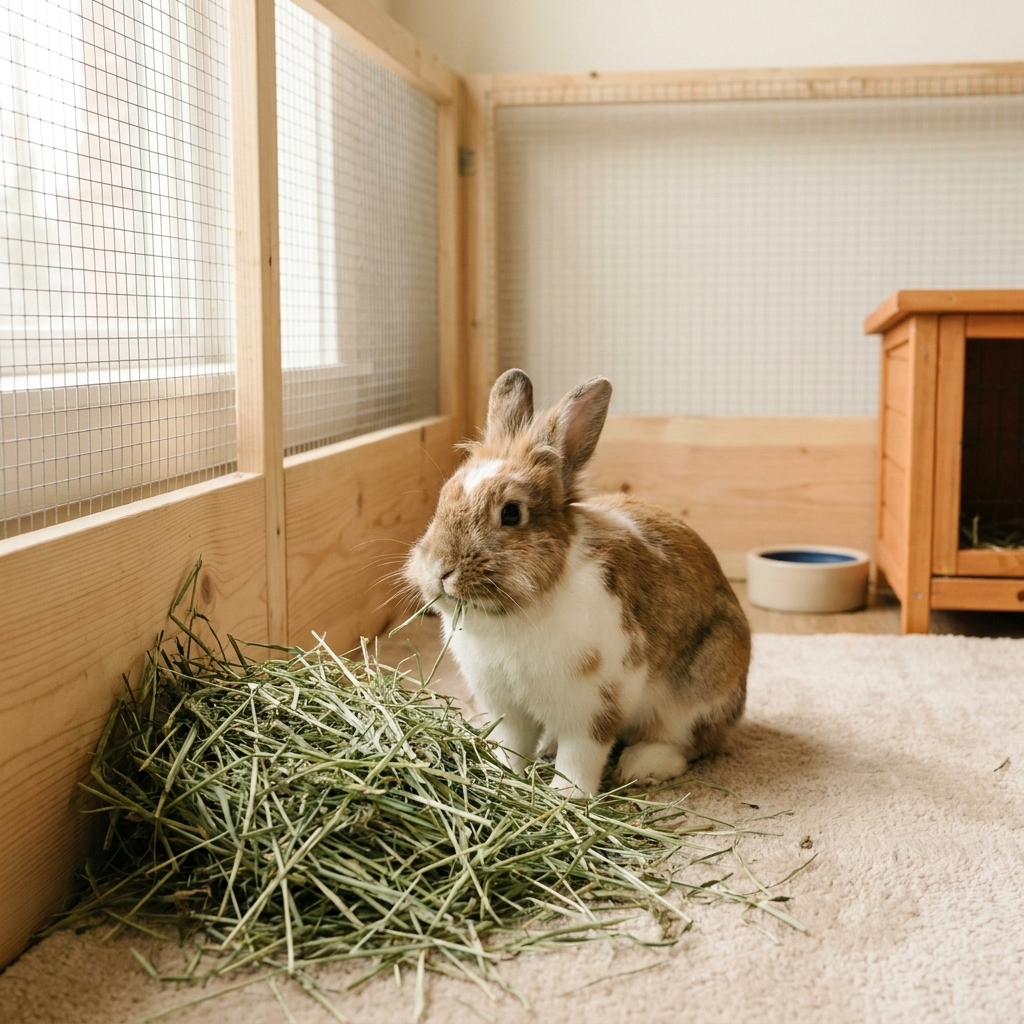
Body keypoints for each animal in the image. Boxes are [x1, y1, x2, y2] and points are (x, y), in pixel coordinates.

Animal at [403, 369, 751, 797]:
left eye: (512, 513)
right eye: (444, 497)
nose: (439, 571)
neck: (515, 613)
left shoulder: (592, 707)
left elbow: (580, 757)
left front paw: (565, 796)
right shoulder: (506, 708)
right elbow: (512, 746)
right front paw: (500, 775)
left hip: (700, 687)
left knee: (688, 743)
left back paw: (642, 765)